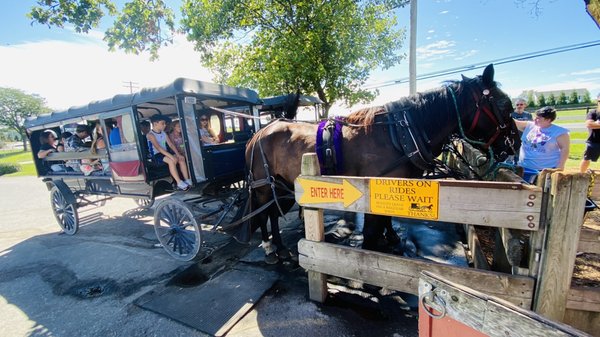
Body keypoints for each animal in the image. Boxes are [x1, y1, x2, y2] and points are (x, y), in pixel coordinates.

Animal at [239, 63, 520, 262]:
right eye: (505, 105)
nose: (514, 145)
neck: (399, 136)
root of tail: (259, 133)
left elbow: (386, 217)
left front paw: (392, 237)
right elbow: (374, 226)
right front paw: (370, 252)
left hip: (281, 184)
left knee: (271, 212)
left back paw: (277, 245)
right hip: (264, 185)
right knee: (265, 213)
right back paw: (271, 246)